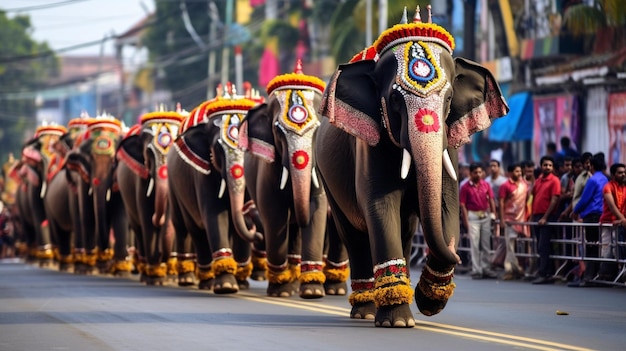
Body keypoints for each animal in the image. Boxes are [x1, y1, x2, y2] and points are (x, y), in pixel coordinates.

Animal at [65, 117, 129, 276]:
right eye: (91, 160)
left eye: (113, 162)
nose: (106, 262)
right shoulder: (83, 176)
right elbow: (87, 213)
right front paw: (89, 268)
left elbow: (120, 214)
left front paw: (120, 270)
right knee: (79, 217)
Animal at [238, 62, 330, 300]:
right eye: (278, 130)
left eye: (317, 130)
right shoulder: (268, 171)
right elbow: (274, 213)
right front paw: (281, 291)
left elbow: (317, 207)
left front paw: (312, 292)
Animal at [312, 6, 508, 328]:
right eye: (393, 99)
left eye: (450, 98)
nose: (460, 254)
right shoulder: (371, 144)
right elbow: (380, 205)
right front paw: (397, 321)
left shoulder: (449, 146)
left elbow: (446, 203)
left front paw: (428, 302)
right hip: (327, 180)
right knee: (352, 233)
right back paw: (365, 310)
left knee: (404, 230)